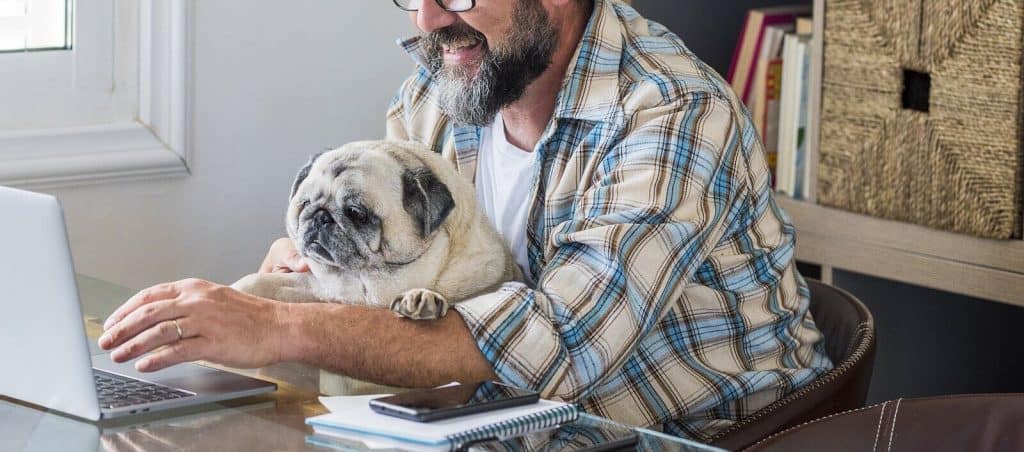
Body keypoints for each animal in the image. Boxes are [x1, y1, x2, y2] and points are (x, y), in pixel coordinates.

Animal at [231, 139, 520, 319]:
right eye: (305, 204)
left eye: (356, 213)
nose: (320, 217)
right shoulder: (316, 286)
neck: (368, 282)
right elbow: (261, 282)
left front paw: (422, 297)